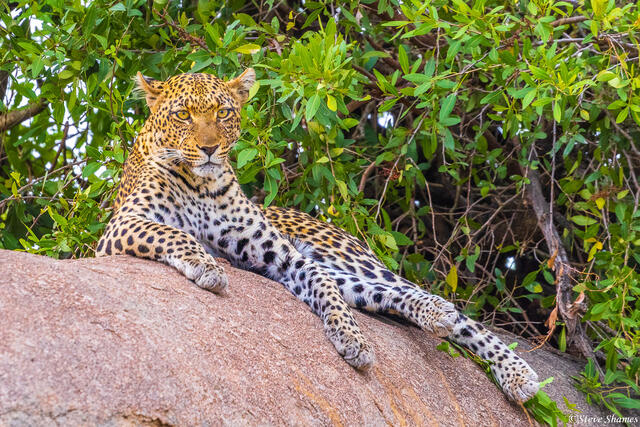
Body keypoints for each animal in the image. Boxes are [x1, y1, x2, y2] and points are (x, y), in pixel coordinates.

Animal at [95, 69, 540, 403]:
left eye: (223, 113)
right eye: (183, 115)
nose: (209, 149)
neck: (201, 185)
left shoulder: (284, 255)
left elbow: (322, 286)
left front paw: (353, 340)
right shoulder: (120, 229)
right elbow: (174, 233)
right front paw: (207, 266)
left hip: (344, 256)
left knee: (435, 303)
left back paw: (515, 371)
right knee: (389, 295)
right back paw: (439, 316)